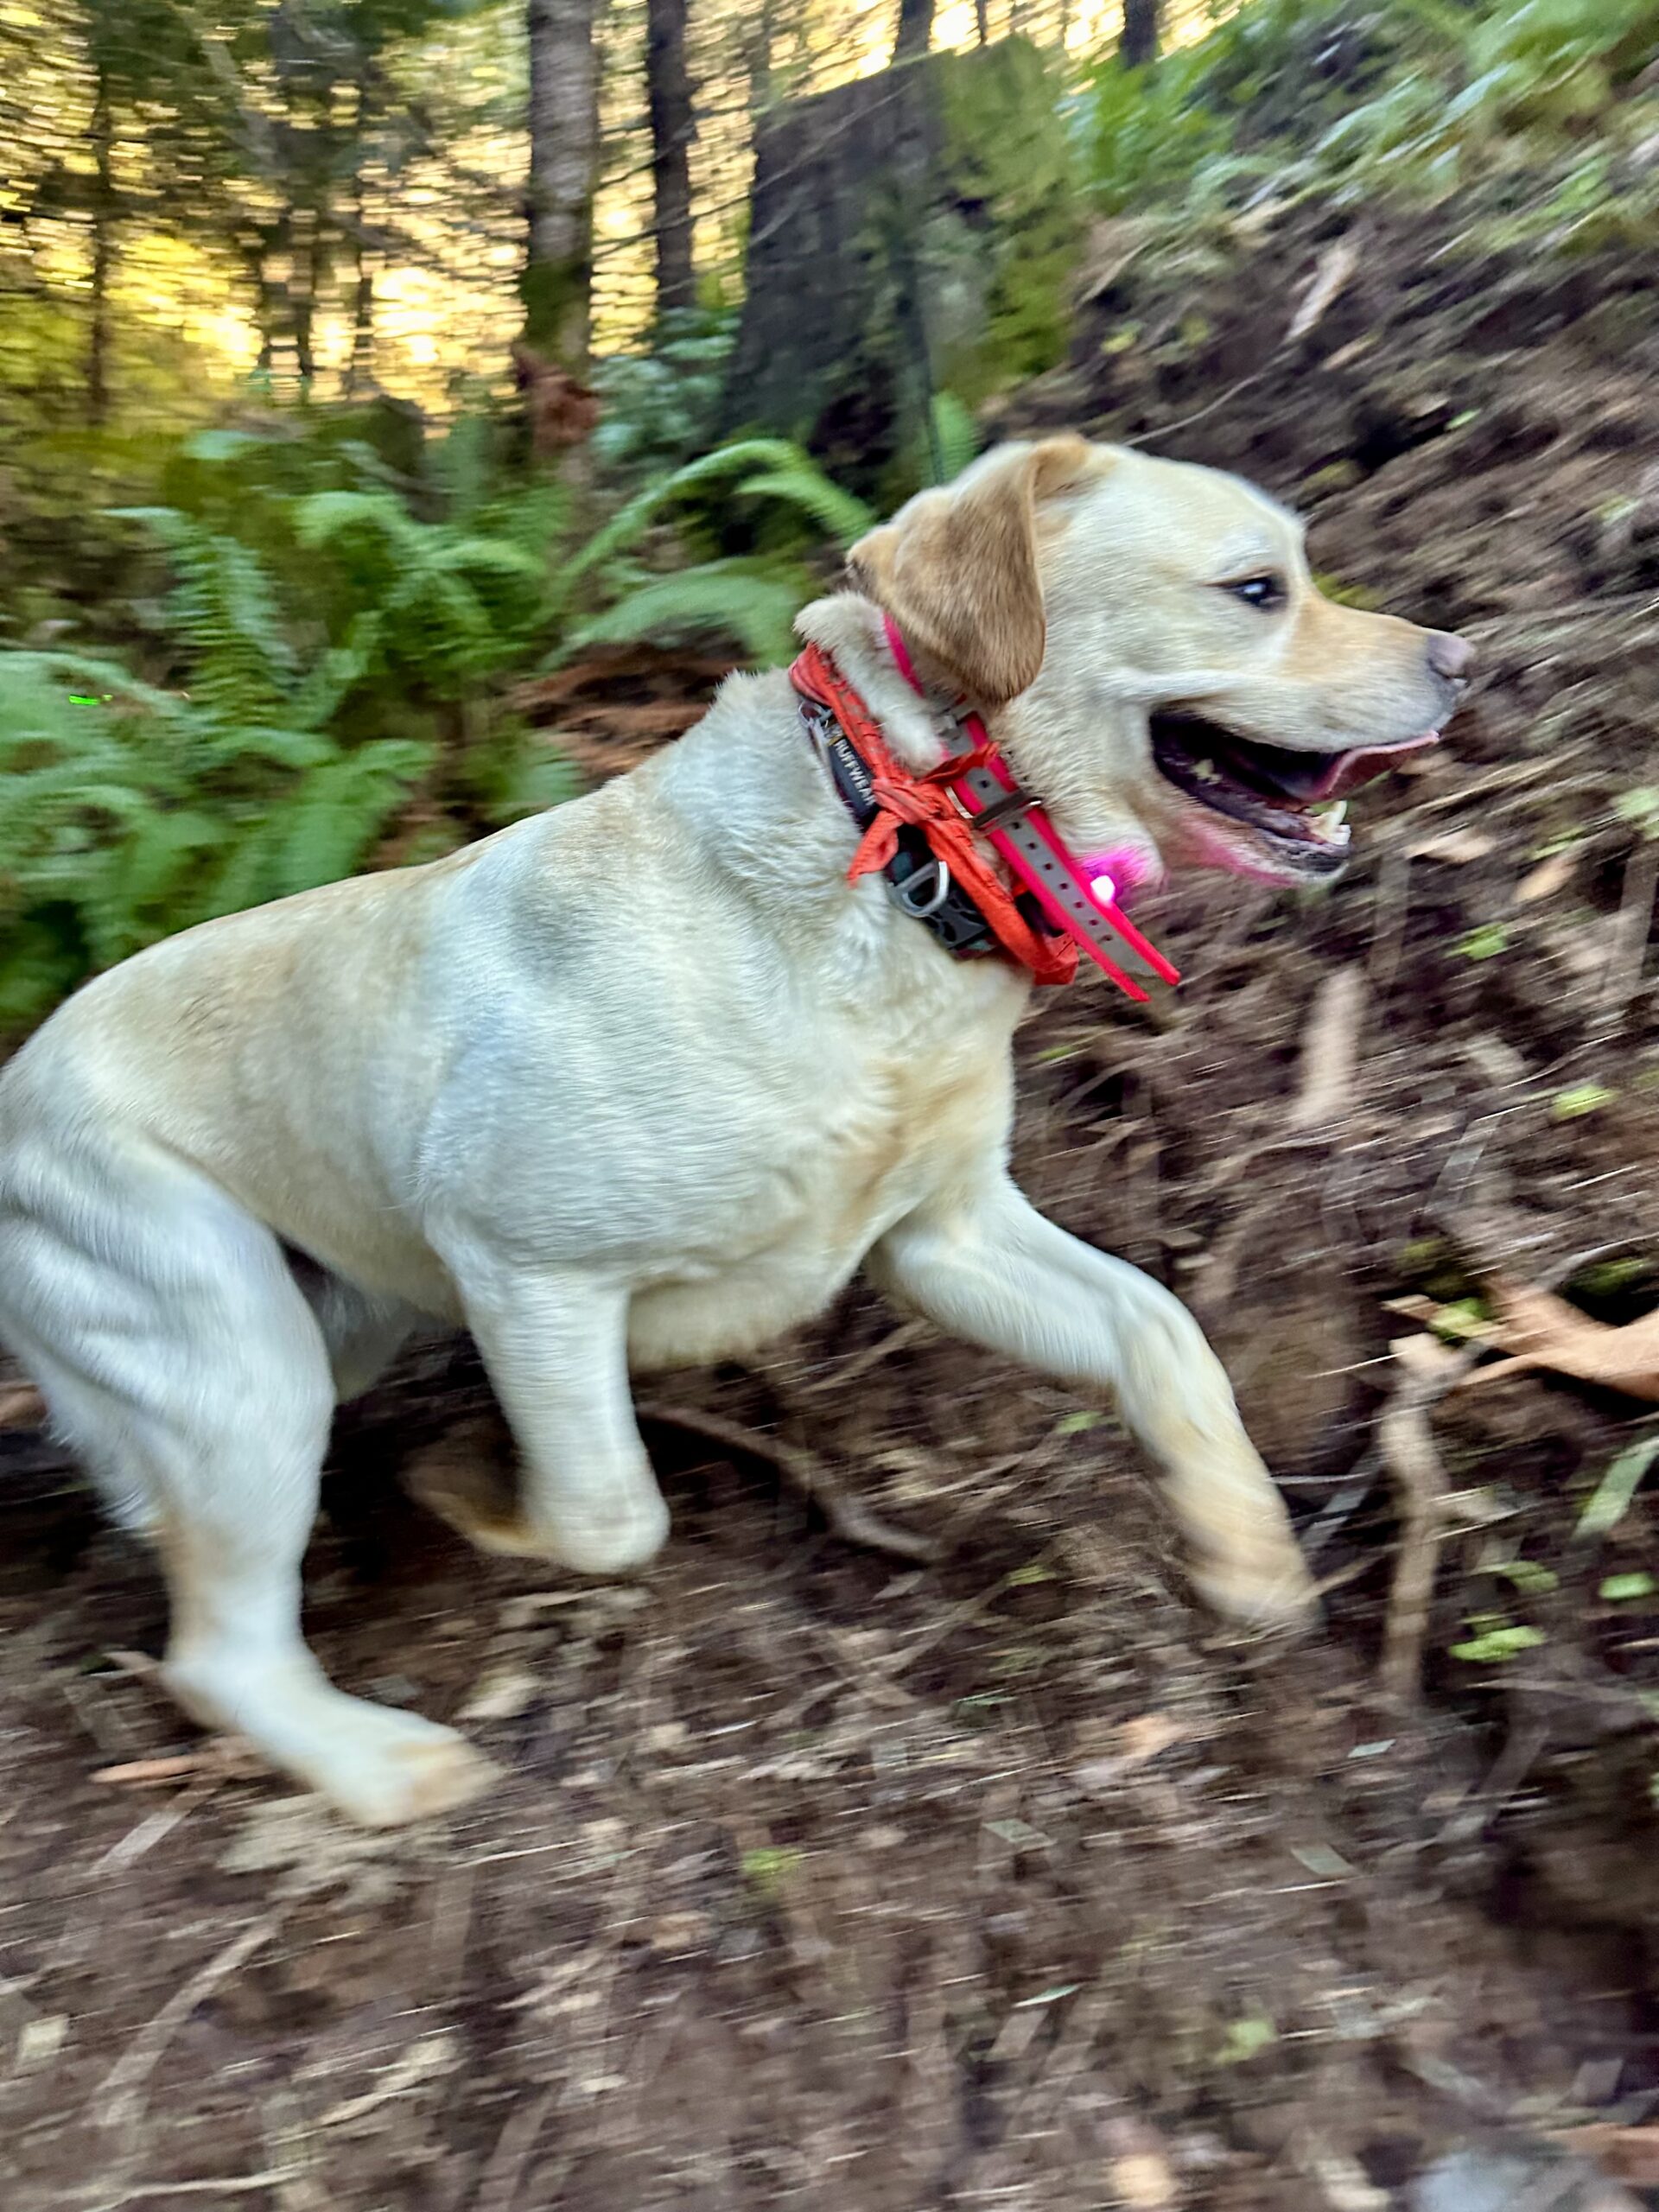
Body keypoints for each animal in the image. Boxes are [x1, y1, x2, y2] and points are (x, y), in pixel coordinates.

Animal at [6, 440, 1478, 1822]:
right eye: (1258, 589)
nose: (1467, 660)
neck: (898, 852)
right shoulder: (524, 1270)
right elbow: (610, 1514)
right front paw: (479, 1492)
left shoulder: (946, 1237)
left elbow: (1164, 1333)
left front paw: (1249, 1554)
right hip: (242, 1362)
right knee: (220, 1657)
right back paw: (382, 1766)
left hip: (337, 1322)